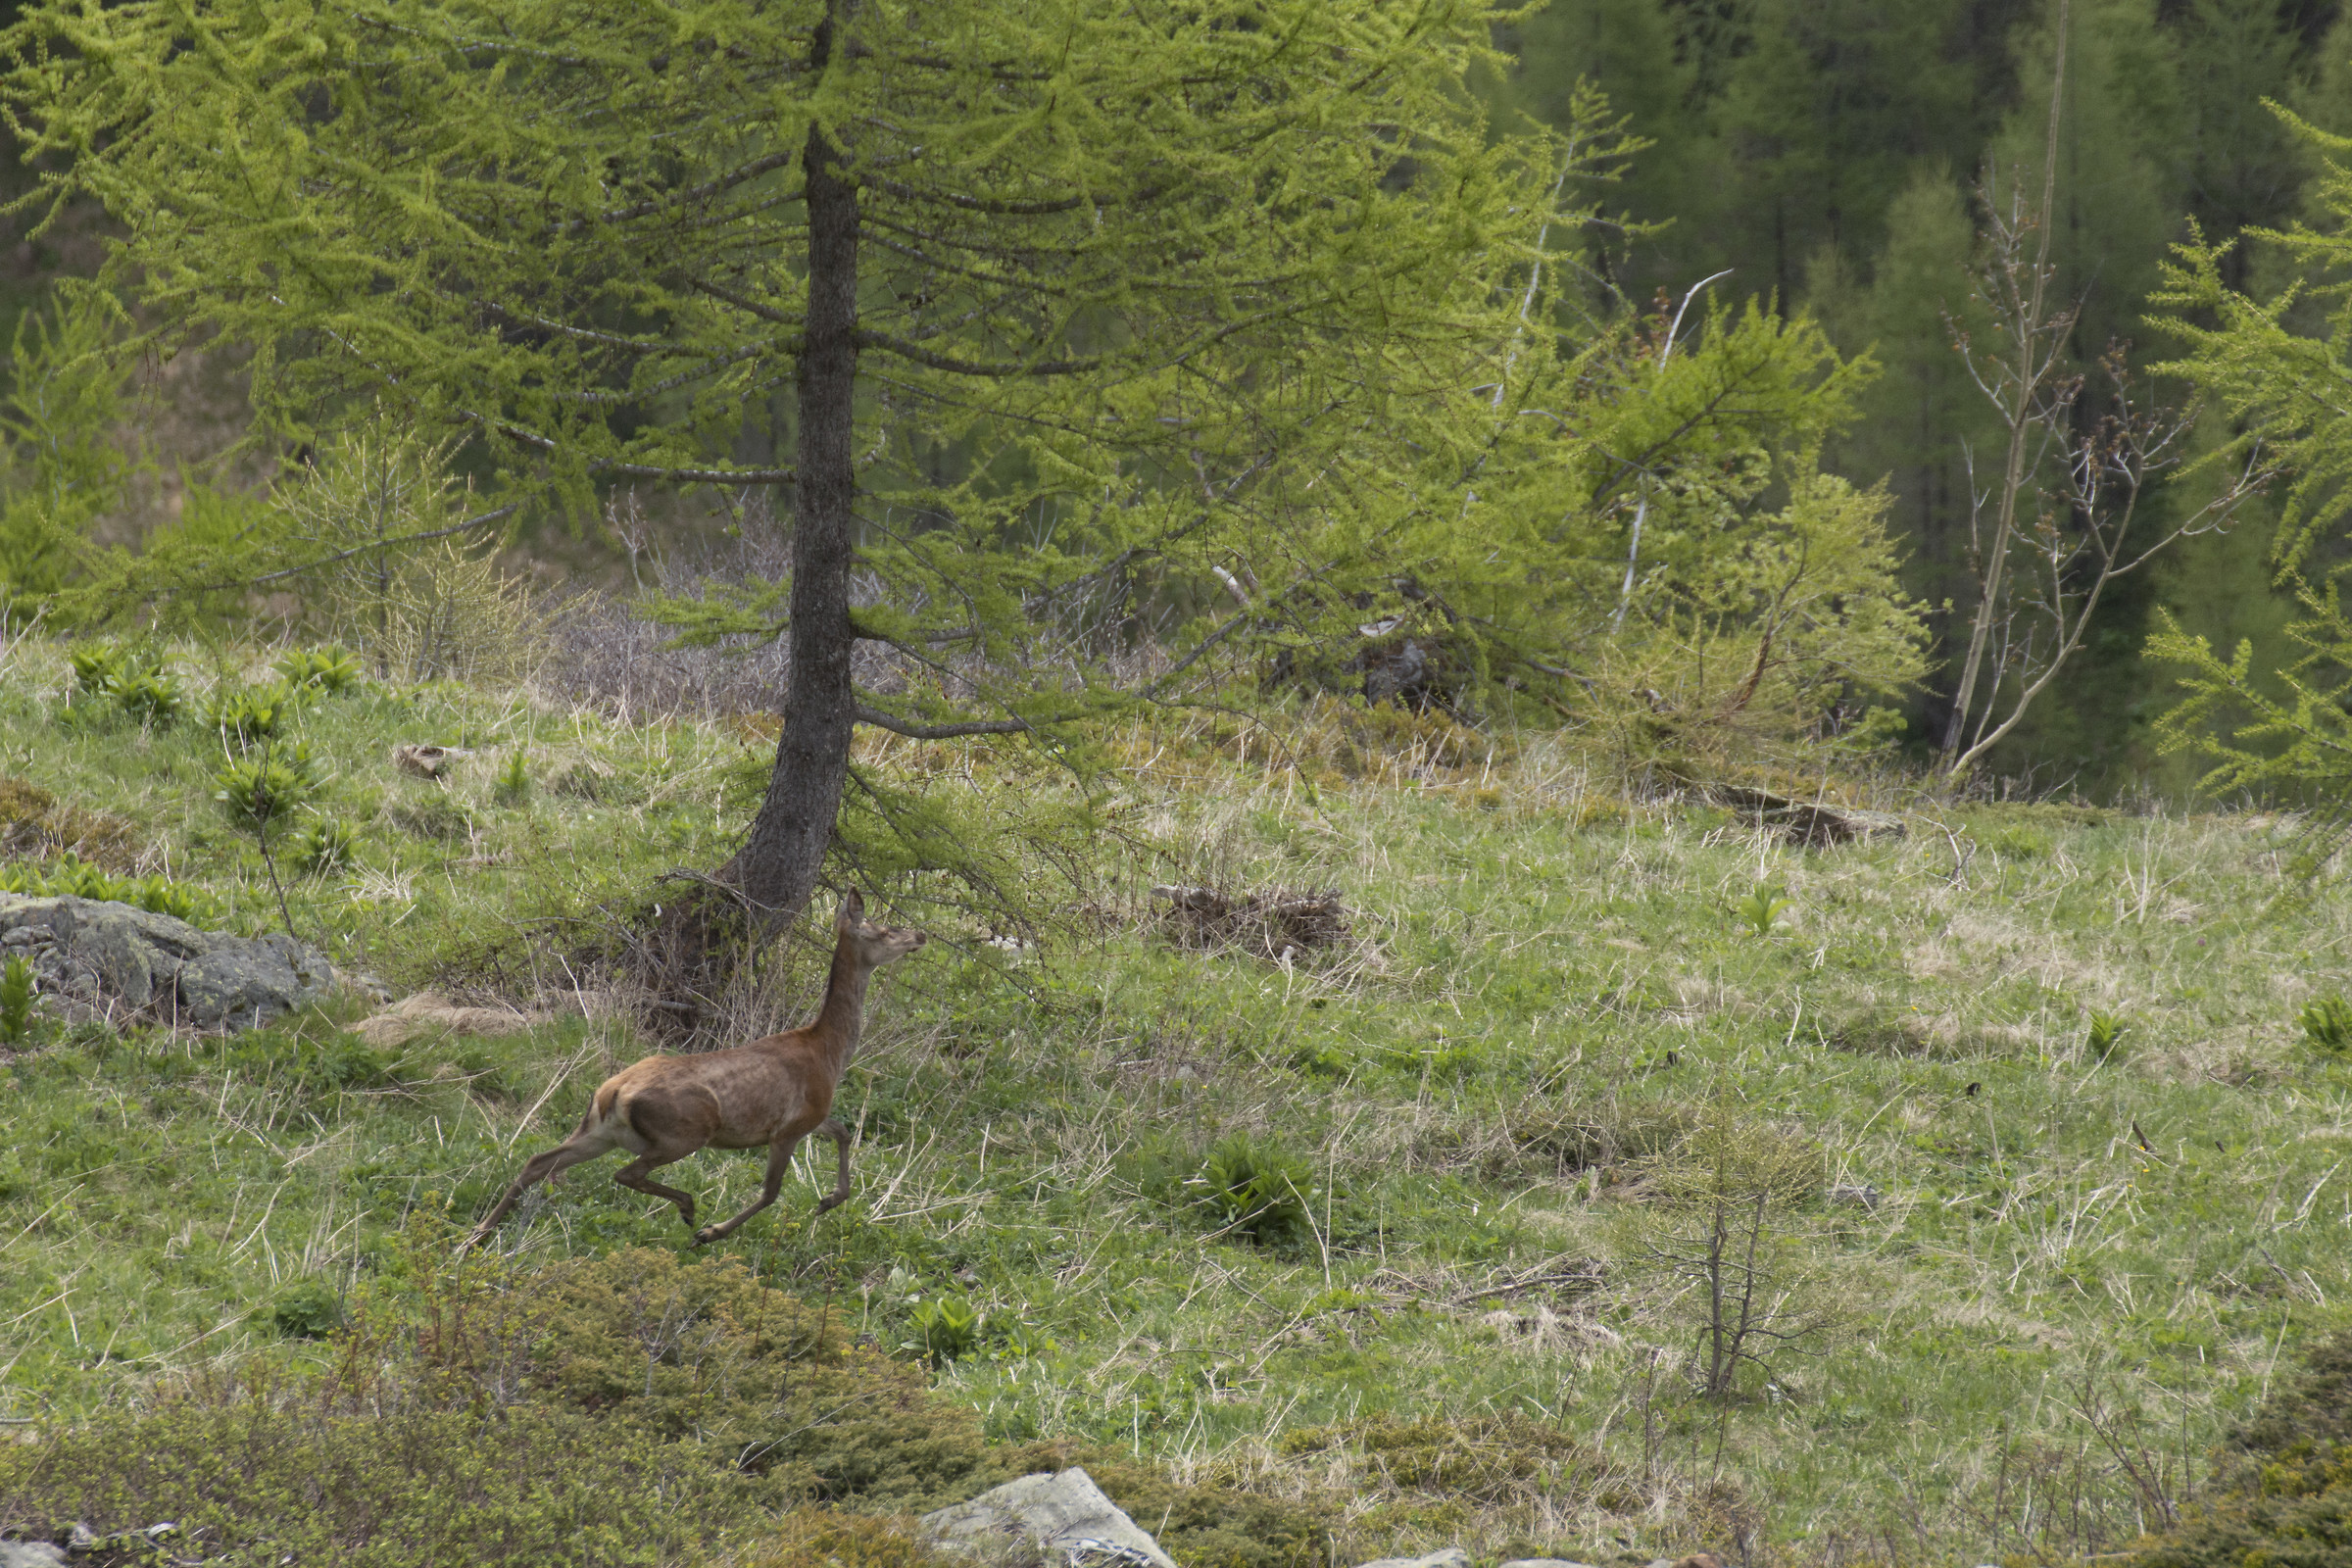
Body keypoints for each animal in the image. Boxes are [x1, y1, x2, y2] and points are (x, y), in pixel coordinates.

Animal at [465, 891, 925, 1249]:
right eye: (884, 929)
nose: (919, 934)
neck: (827, 1053)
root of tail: (613, 1093)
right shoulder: (790, 1126)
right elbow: (771, 1192)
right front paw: (712, 1231)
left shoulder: (814, 1115)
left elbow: (844, 1132)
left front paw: (830, 1198)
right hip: (684, 1131)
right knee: (625, 1172)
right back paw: (687, 1208)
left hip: (599, 1130)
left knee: (539, 1161)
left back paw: (478, 1234)